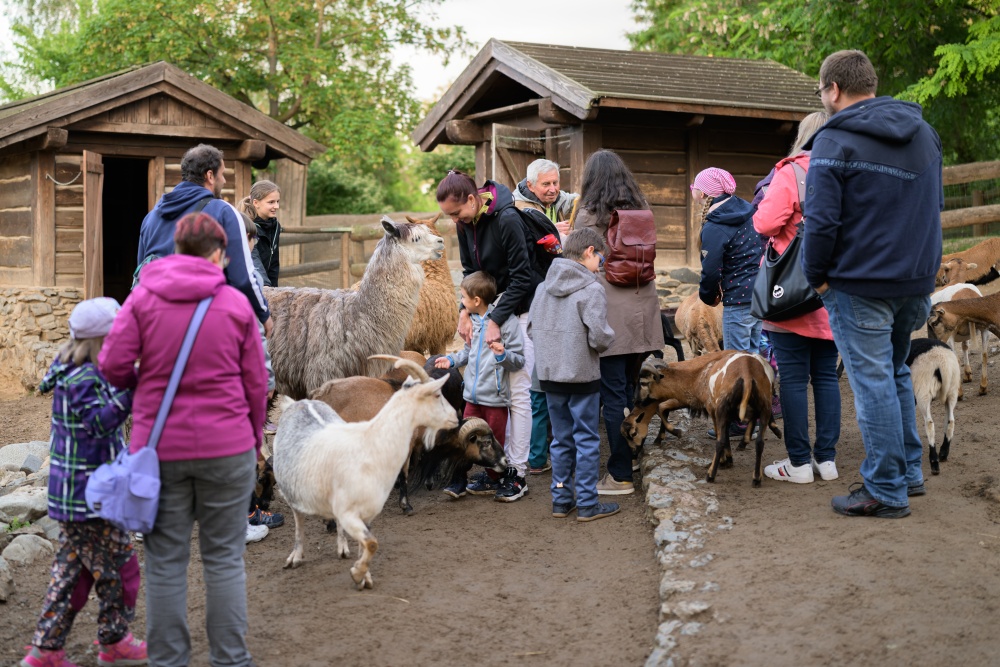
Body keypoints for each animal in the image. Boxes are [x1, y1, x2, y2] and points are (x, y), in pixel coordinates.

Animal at [274, 358, 460, 588]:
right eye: (437, 395)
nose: (455, 419)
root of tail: (318, 394)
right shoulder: (405, 449)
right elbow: (404, 474)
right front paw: (406, 505)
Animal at [632, 352, 780, 488]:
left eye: (643, 383)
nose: (637, 401)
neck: (696, 377)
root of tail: (747, 373)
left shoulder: (713, 409)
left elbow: (721, 437)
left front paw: (723, 461)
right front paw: (729, 458)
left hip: (723, 408)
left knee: (720, 442)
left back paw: (711, 475)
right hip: (764, 404)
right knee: (760, 442)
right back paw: (756, 475)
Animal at [908, 340, 960, 474]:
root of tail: (942, 361)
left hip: (923, 393)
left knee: (929, 424)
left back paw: (934, 462)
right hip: (952, 392)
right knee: (950, 421)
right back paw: (943, 453)